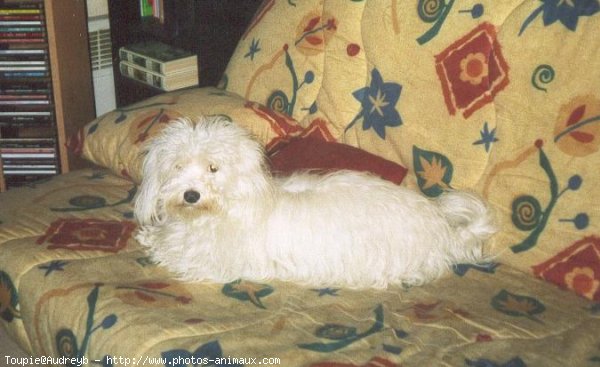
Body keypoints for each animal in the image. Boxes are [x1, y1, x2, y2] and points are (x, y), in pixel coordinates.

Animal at [136, 116, 496, 288]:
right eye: (178, 166)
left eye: (213, 167)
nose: (191, 195)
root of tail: (442, 227)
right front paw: (149, 234)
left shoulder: (210, 262)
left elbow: (173, 254)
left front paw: (156, 245)